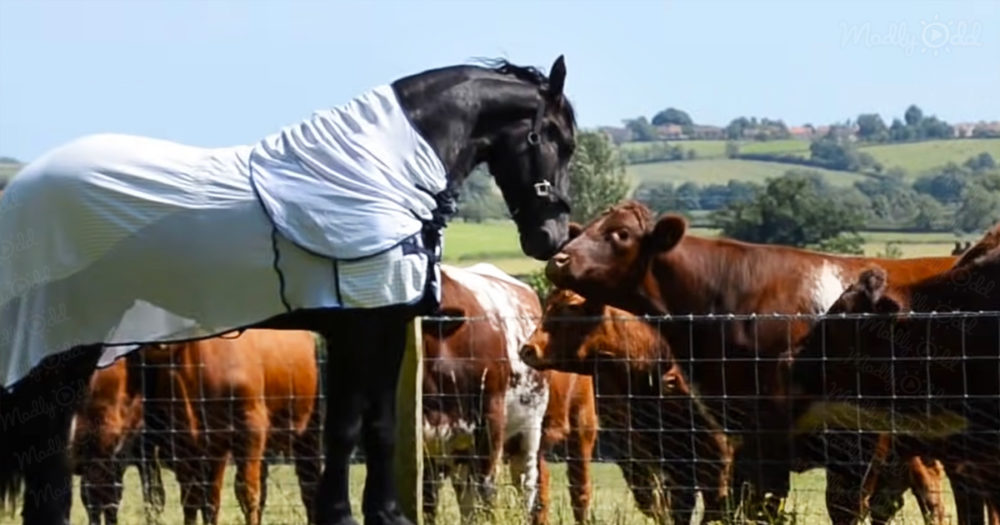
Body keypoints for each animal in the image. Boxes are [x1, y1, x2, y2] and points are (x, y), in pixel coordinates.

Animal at [130, 329, 324, 525]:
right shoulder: (186, 443)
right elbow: (195, 500)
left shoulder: (247, 430)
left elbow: (243, 494)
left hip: (308, 433)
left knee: (308, 487)